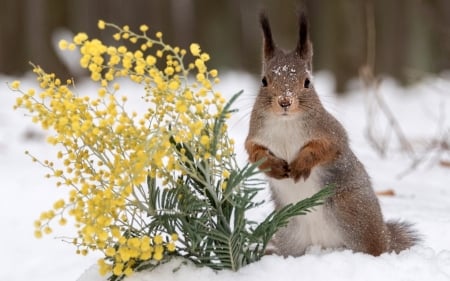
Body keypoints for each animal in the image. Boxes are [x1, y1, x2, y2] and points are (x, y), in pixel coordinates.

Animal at [244, 10, 420, 256]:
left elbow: (325, 149)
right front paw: (275, 166)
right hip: (289, 233)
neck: (286, 123)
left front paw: (301, 165)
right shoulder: (254, 136)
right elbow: (255, 153)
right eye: (263, 81)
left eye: (307, 81)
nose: (285, 102)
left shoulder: (331, 132)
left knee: (374, 247)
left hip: (354, 215)